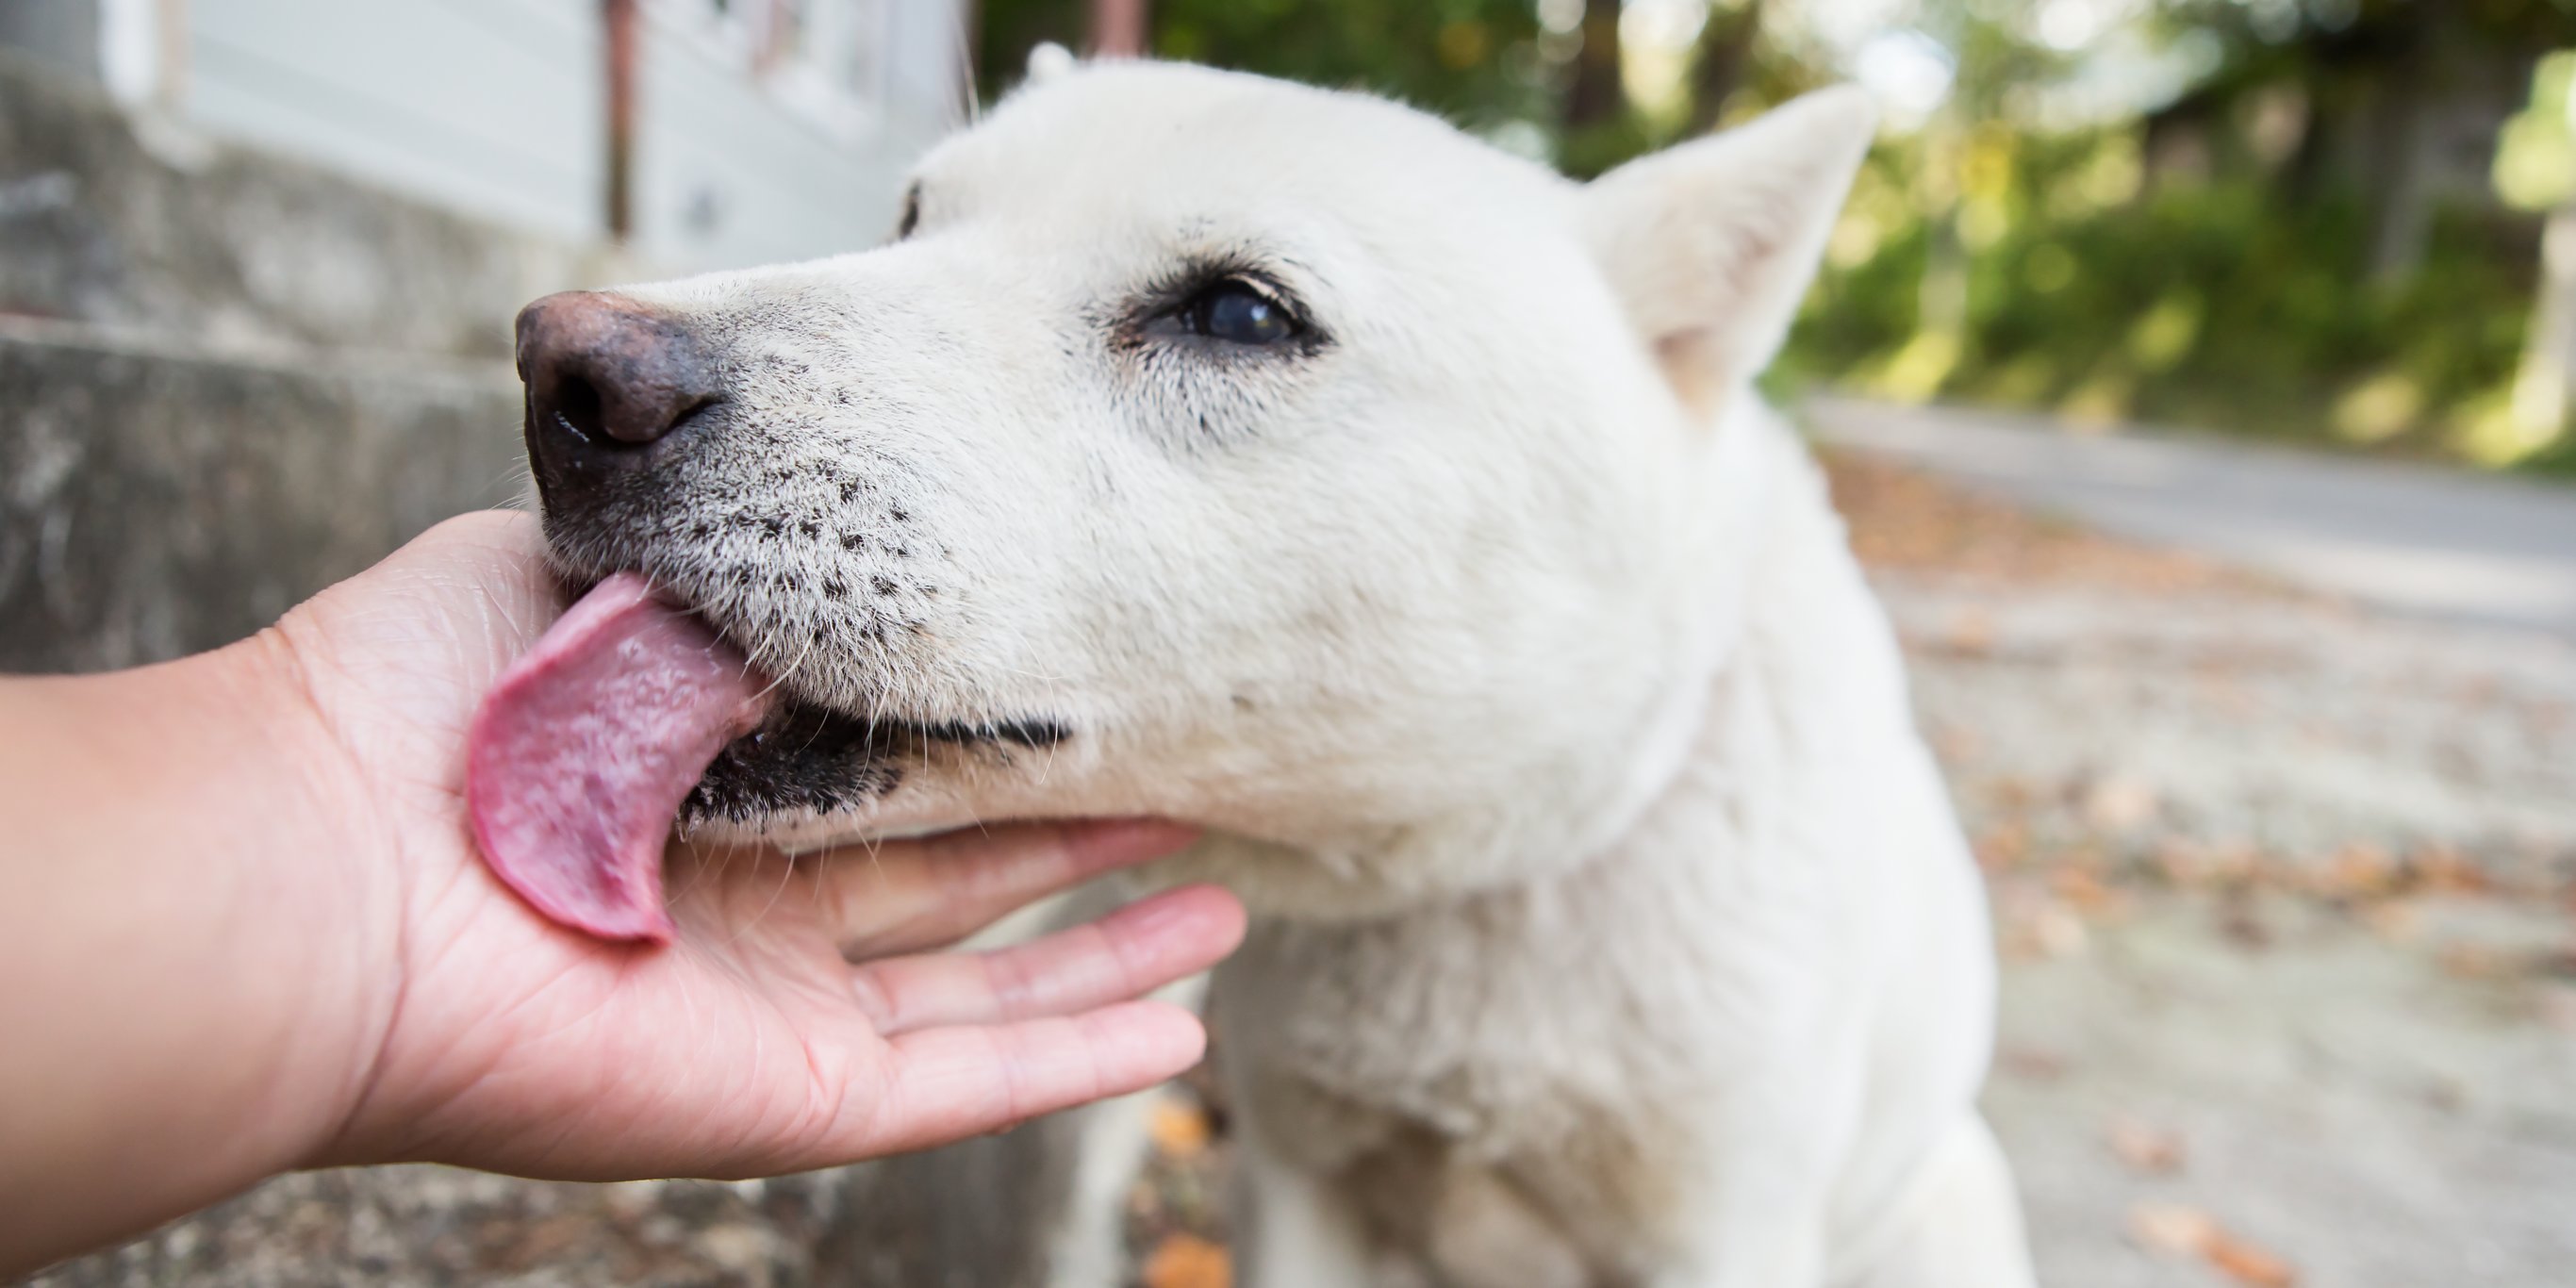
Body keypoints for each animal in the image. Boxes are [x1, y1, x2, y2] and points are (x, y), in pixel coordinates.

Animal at [502, 58, 2029, 1288]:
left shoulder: (1720, 1227)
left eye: (1240, 315)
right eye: (912, 221)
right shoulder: (1297, 1182)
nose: (563, 379)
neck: (1479, 882)